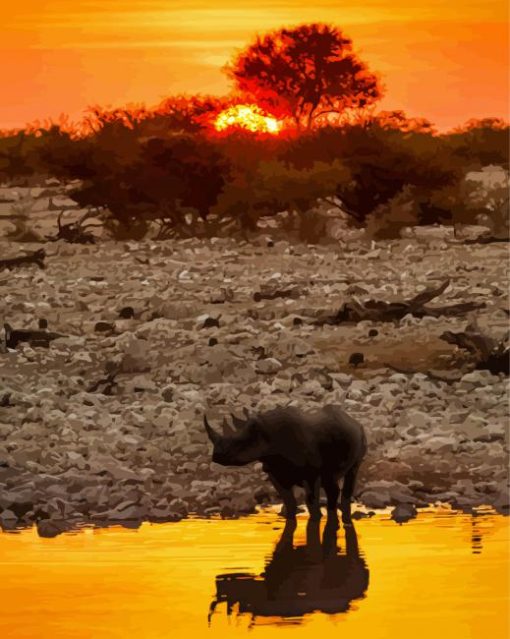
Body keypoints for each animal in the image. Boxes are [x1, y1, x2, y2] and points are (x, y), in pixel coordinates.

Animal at [203, 404, 366, 524]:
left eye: (238, 444)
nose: (216, 457)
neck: (267, 434)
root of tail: (353, 420)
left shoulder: (311, 473)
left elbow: (310, 500)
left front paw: (316, 519)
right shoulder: (274, 471)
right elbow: (289, 501)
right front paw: (290, 518)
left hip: (360, 435)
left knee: (351, 472)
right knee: (330, 480)